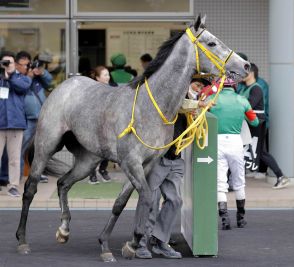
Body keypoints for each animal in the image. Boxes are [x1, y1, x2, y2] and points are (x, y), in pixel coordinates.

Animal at [15, 15, 250, 262]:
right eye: (212, 43)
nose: (245, 65)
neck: (151, 106)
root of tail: (65, 86)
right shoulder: (130, 162)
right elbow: (145, 197)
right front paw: (133, 243)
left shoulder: (146, 164)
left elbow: (122, 202)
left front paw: (109, 245)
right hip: (46, 145)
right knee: (30, 189)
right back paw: (22, 240)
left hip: (88, 160)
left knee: (63, 183)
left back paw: (64, 230)